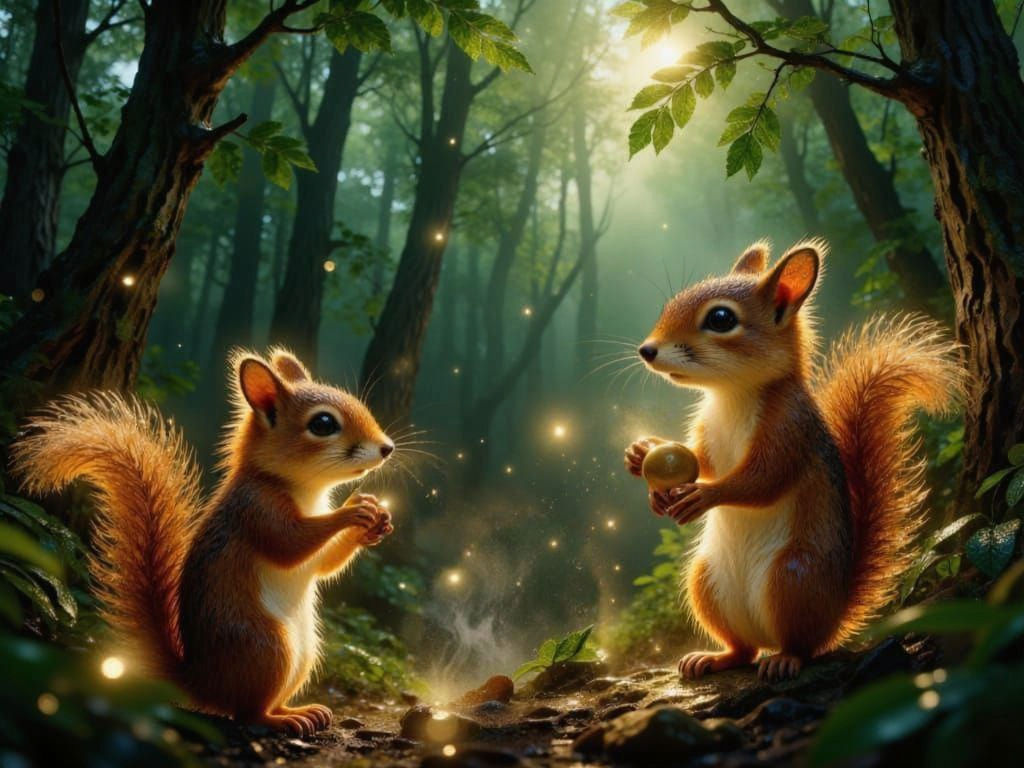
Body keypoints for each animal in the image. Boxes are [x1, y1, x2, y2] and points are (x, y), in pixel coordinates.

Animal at [12, 348, 397, 736]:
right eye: (323, 424)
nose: (387, 448)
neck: (303, 490)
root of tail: (202, 681)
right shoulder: (255, 509)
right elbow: (290, 545)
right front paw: (352, 512)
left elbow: (324, 565)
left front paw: (375, 520)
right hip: (267, 646)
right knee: (247, 713)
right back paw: (283, 719)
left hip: (303, 654)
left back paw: (300, 710)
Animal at [624, 240, 961, 682]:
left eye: (720, 318)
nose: (647, 350)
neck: (732, 394)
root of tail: (836, 612)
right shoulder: (707, 430)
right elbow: (700, 459)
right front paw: (641, 453)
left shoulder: (789, 429)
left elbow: (762, 480)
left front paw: (704, 496)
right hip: (706, 582)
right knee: (744, 649)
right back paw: (715, 658)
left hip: (793, 577)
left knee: (802, 645)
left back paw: (785, 659)